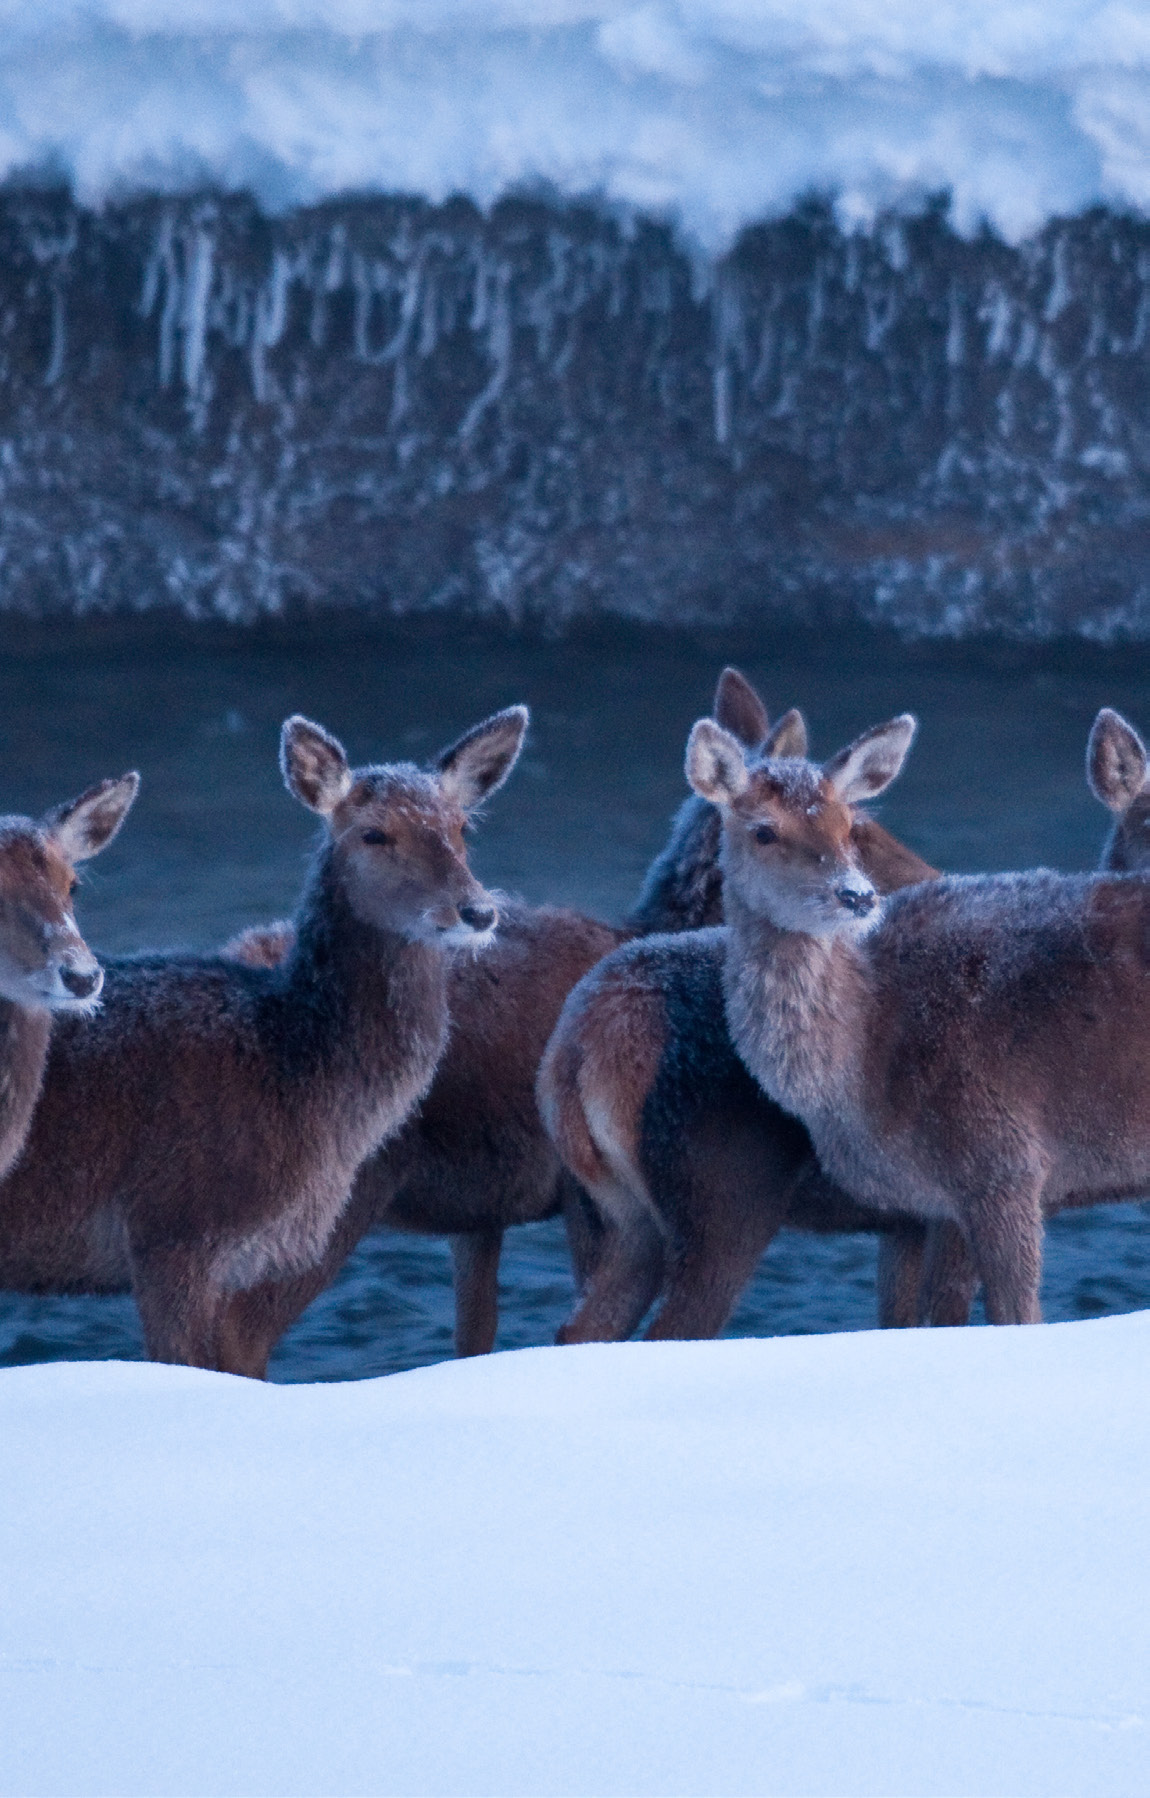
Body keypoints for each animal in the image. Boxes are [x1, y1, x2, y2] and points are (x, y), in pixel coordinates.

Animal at [207, 667, 775, 1376]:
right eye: (373, 832)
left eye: (462, 828)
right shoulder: (582, 1192)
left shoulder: (482, 1214)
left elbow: (474, 1335)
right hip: (343, 1188)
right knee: (238, 1331)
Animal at [536, 711, 936, 1345]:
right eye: (765, 831)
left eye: (849, 825)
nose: (860, 895)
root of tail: (576, 1053)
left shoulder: (908, 1219)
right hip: (724, 1199)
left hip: (610, 1212)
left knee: (579, 1329)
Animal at [685, 706, 1150, 1327]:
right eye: (763, 830)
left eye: (847, 827)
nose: (857, 896)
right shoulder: (935, 1205)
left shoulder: (1004, 1160)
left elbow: (1015, 1316)